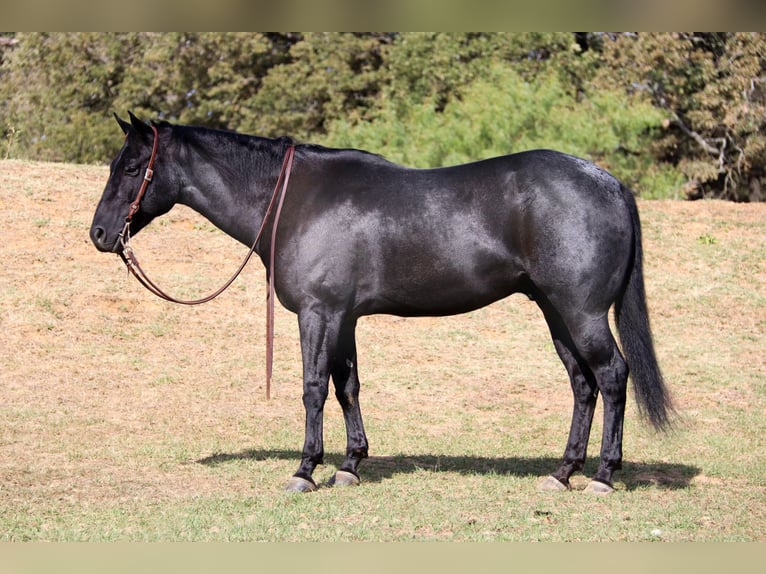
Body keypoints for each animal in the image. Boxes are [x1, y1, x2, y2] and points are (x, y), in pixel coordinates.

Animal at [93, 112, 676, 496]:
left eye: (131, 168)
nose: (99, 234)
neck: (295, 198)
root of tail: (609, 183)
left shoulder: (318, 313)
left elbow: (313, 388)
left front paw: (305, 470)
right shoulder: (343, 318)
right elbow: (346, 386)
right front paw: (350, 465)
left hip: (581, 313)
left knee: (612, 375)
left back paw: (603, 475)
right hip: (556, 312)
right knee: (582, 384)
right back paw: (562, 473)